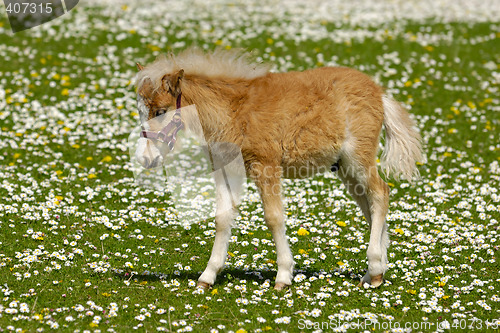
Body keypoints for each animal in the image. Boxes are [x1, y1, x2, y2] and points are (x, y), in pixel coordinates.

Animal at [134, 48, 422, 290]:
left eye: (160, 111)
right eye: (141, 112)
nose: (145, 158)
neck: (233, 110)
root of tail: (379, 93)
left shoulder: (266, 166)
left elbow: (274, 217)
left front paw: (283, 275)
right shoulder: (228, 170)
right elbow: (222, 218)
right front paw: (208, 276)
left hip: (358, 158)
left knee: (380, 193)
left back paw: (375, 268)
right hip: (344, 167)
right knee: (369, 204)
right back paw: (375, 272)